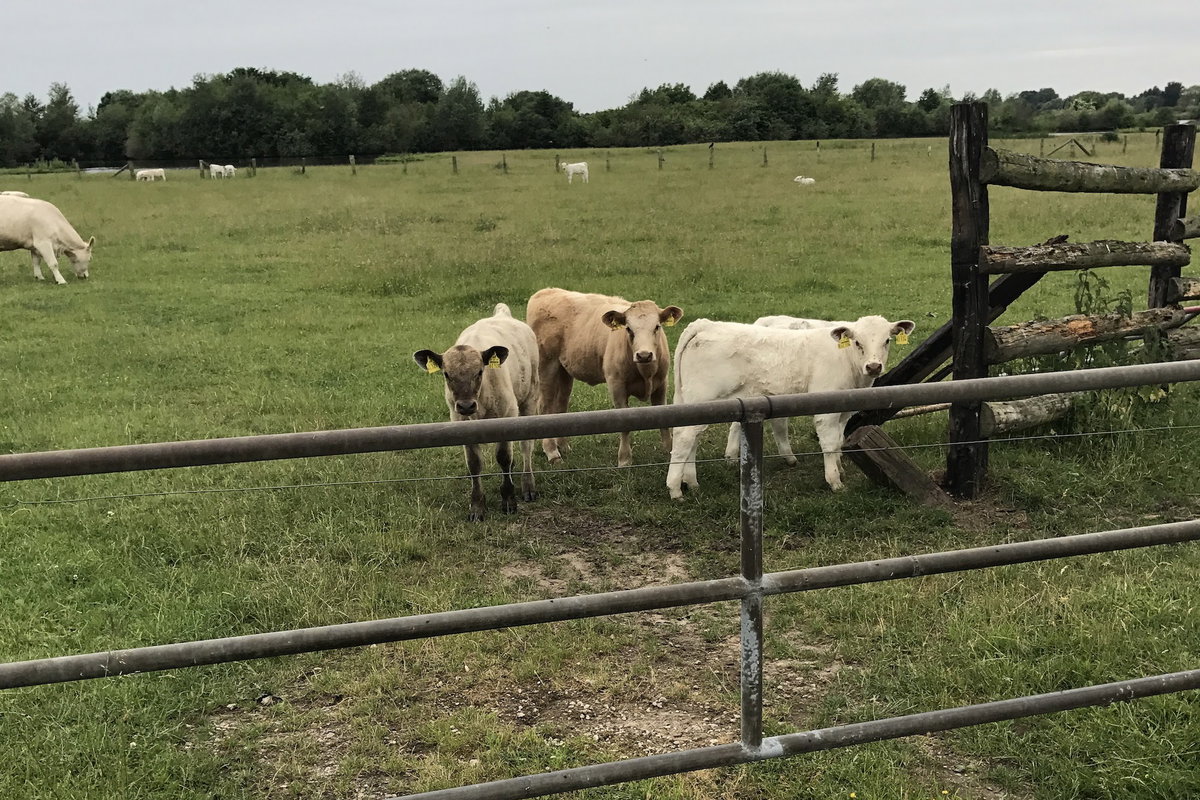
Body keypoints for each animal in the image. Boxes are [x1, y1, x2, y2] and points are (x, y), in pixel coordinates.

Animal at [413, 303, 540, 521]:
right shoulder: (460, 423)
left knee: (526, 446)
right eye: (446, 374)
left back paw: (528, 485)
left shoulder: (506, 415)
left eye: (480, 371)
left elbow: (503, 457)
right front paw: (477, 506)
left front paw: (509, 500)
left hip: (529, 399)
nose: (466, 406)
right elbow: (474, 464)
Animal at [526, 288, 683, 467]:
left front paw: (670, 453)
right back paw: (552, 452)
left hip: (564, 371)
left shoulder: (662, 383)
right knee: (545, 407)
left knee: (561, 406)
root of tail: (547, 291)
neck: (646, 372)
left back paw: (563, 446)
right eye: (628, 329)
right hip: (546, 366)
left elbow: (664, 417)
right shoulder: (616, 386)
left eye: (657, 327)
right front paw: (624, 460)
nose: (644, 355)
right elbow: (625, 424)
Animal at [666, 315, 915, 499]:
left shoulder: (844, 412)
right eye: (857, 342)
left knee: (692, 439)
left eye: (887, 340)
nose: (873, 366)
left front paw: (840, 470)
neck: (847, 361)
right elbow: (828, 444)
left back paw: (691, 481)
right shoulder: (826, 411)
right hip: (702, 396)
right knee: (684, 438)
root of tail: (705, 324)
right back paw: (675, 488)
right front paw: (834, 481)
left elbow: (837, 442)